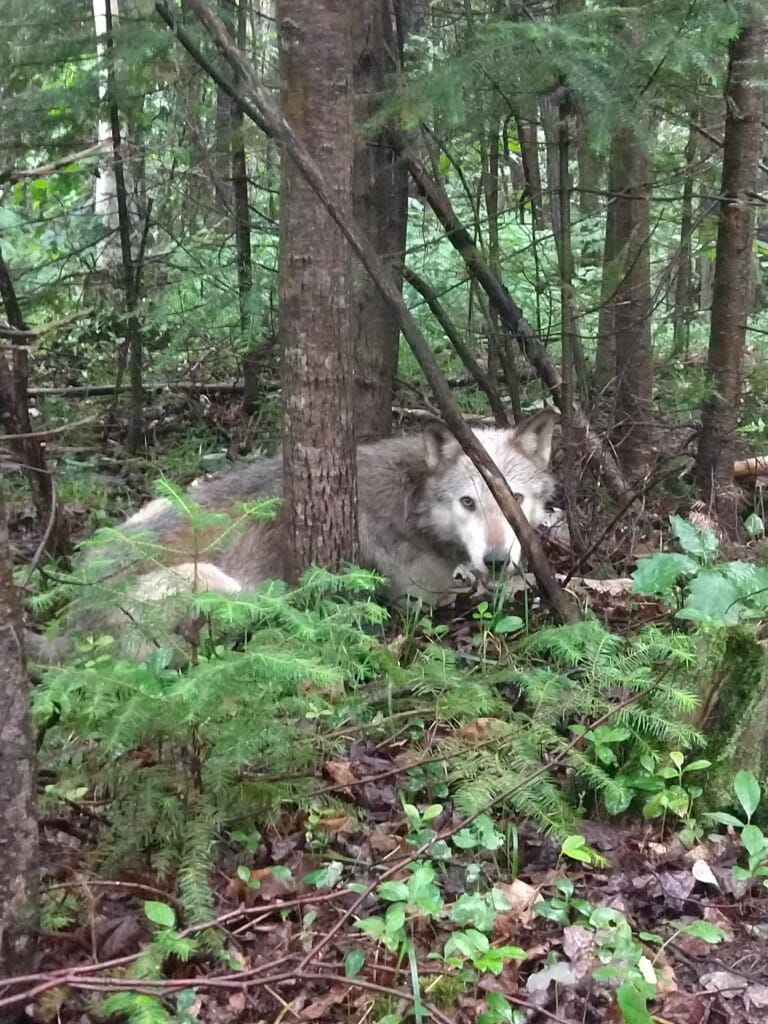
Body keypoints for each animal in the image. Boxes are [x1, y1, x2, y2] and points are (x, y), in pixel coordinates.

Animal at [29, 410, 557, 661]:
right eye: (468, 502)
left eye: (514, 499)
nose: (495, 559)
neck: (413, 498)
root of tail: (69, 624)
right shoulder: (427, 596)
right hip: (216, 584)